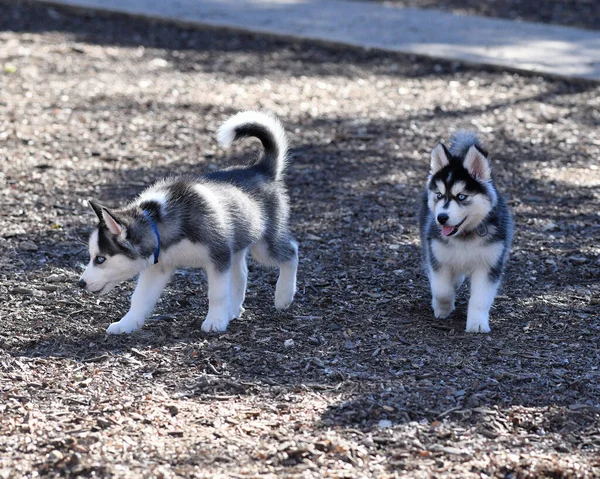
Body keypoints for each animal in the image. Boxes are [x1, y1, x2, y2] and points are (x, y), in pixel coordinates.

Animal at [77, 112, 298, 336]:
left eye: (100, 259)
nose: (80, 283)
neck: (159, 224)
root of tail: (260, 169)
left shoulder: (218, 257)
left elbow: (217, 294)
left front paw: (215, 321)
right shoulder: (159, 267)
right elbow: (139, 299)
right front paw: (127, 323)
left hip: (263, 246)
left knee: (291, 251)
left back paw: (283, 296)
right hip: (235, 244)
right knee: (242, 273)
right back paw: (234, 310)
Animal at [420, 132, 512, 334]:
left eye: (461, 196)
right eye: (439, 195)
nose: (441, 218)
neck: (464, 235)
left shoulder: (489, 265)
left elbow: (480, 299)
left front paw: (477, 323)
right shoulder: (437, 256)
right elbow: (442, 289)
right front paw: (442, 308)